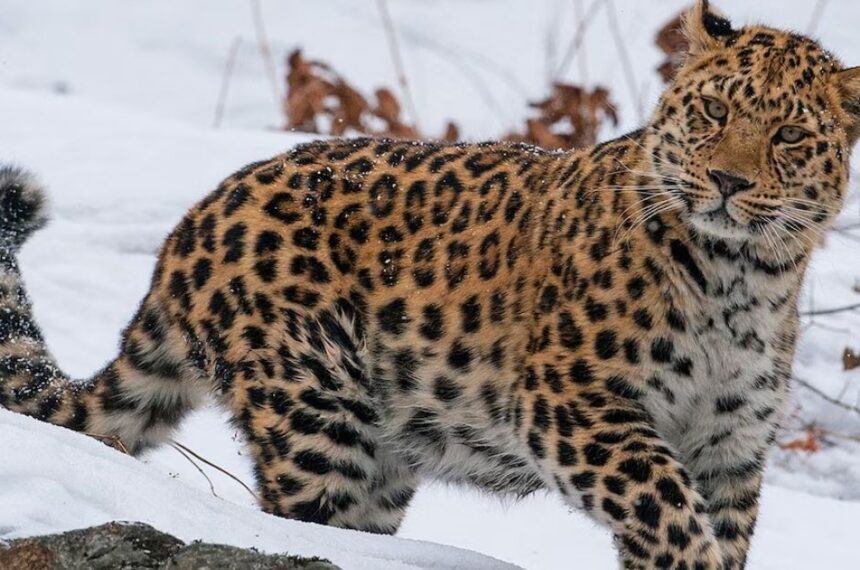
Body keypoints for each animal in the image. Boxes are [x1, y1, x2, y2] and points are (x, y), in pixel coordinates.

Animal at [2, 2, 859, 568]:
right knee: (303, 522)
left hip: (384, 455)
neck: (743, 278)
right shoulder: (574, 402)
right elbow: (668, 510)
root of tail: (192, 225)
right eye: (713, 110)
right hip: (317, 412)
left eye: (788, 134)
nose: (726, 181)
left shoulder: (731, 449)